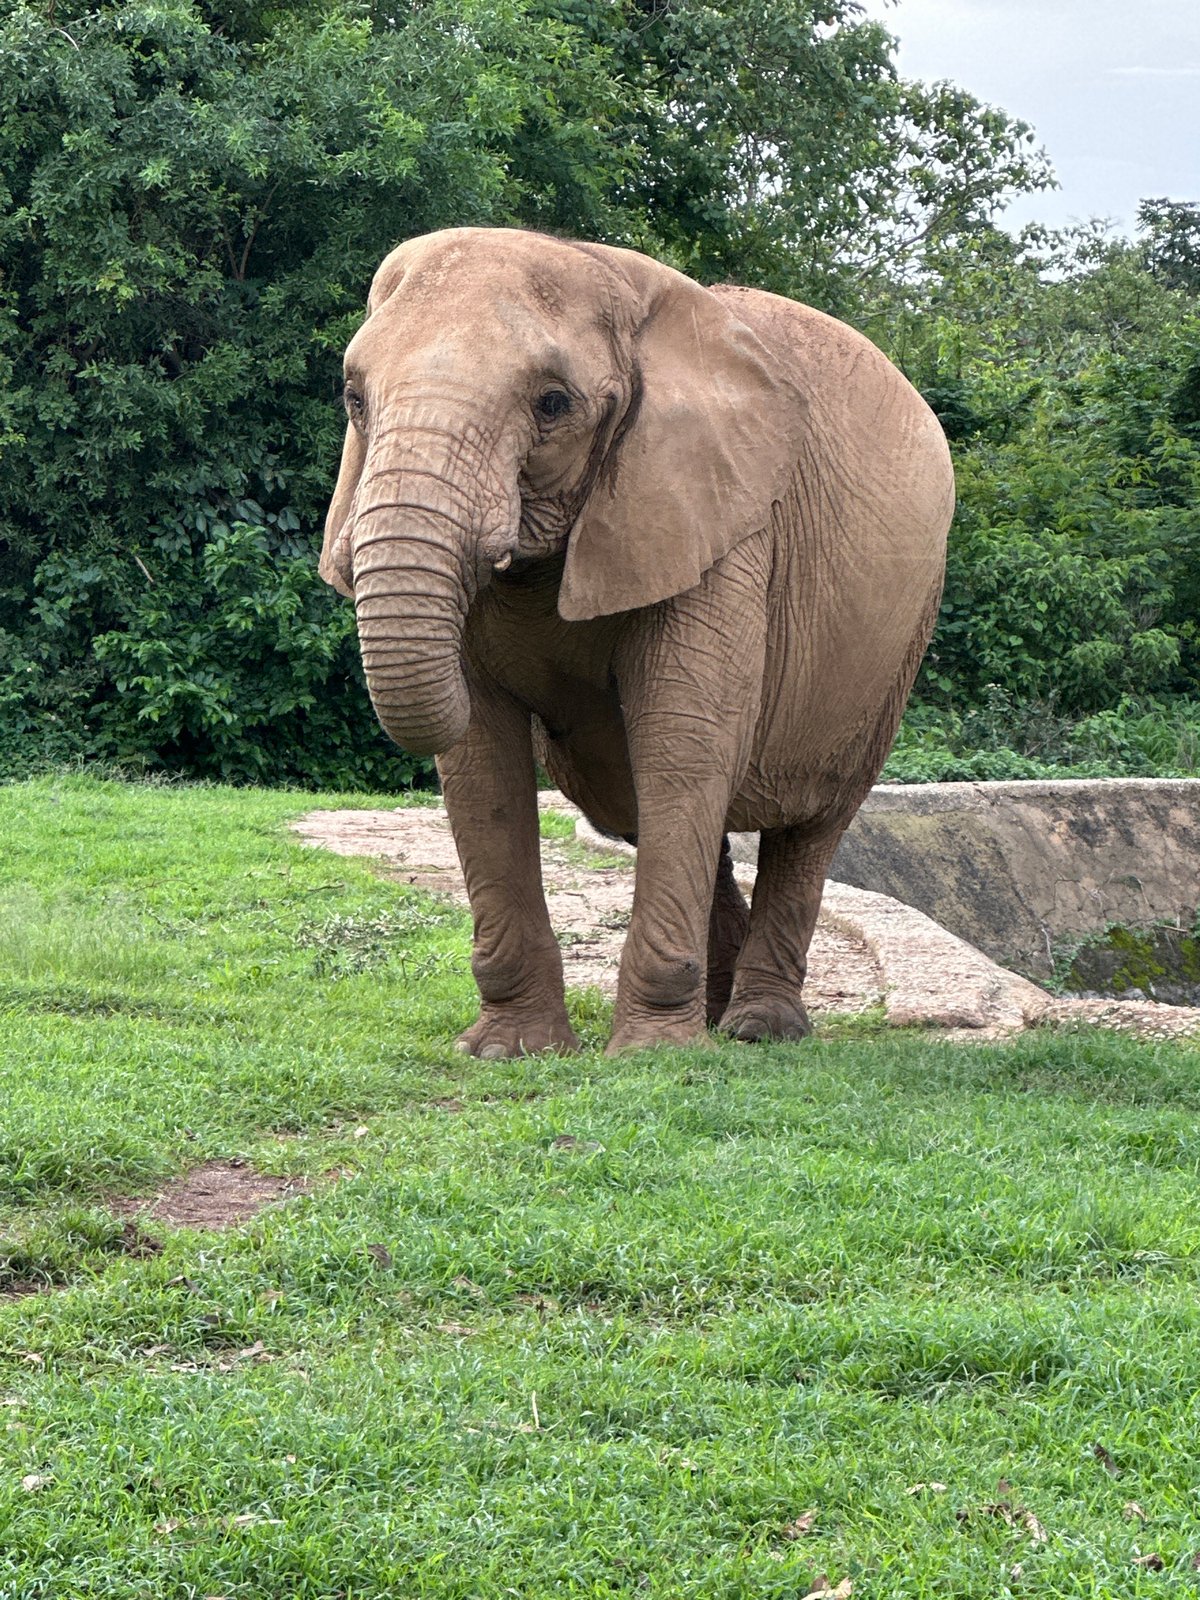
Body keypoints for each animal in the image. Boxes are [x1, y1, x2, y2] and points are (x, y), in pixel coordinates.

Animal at [319, 226, 953, 1056]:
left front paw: (653, 1054)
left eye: (553, 403)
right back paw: (717, 1014)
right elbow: (482, 762)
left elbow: (682, 738)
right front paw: (508, 1051)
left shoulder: (722, 517)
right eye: (354, 399)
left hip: (898, 643)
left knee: (810, 826)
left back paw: (756, 1029)